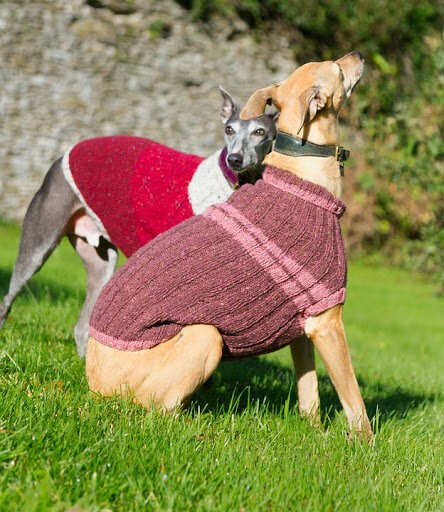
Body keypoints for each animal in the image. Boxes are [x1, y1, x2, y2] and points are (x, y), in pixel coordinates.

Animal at [85, 53, 372, 444]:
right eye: (338, 70)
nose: (359, 55)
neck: (300, 178)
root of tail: (93, 384)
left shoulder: (304, 325)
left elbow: (309, 394)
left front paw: (314, 435)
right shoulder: (328, 322)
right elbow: (354, 400)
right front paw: (366, 447)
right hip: (205, 336)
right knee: (156, 409)